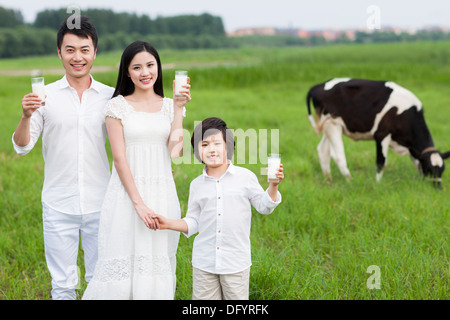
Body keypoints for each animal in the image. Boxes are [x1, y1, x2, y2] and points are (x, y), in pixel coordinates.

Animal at [306, 78, 450, 188]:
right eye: (429, 169)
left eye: (442, 169)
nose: (438, 188)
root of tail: (318, 86)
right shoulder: (382, 135)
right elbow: (381, 162)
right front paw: (378, 184)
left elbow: (416, 161)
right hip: (333, 124)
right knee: (338, 155)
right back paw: (349, 180)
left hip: (328, 126)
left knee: (323, 149)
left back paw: (328, 180)